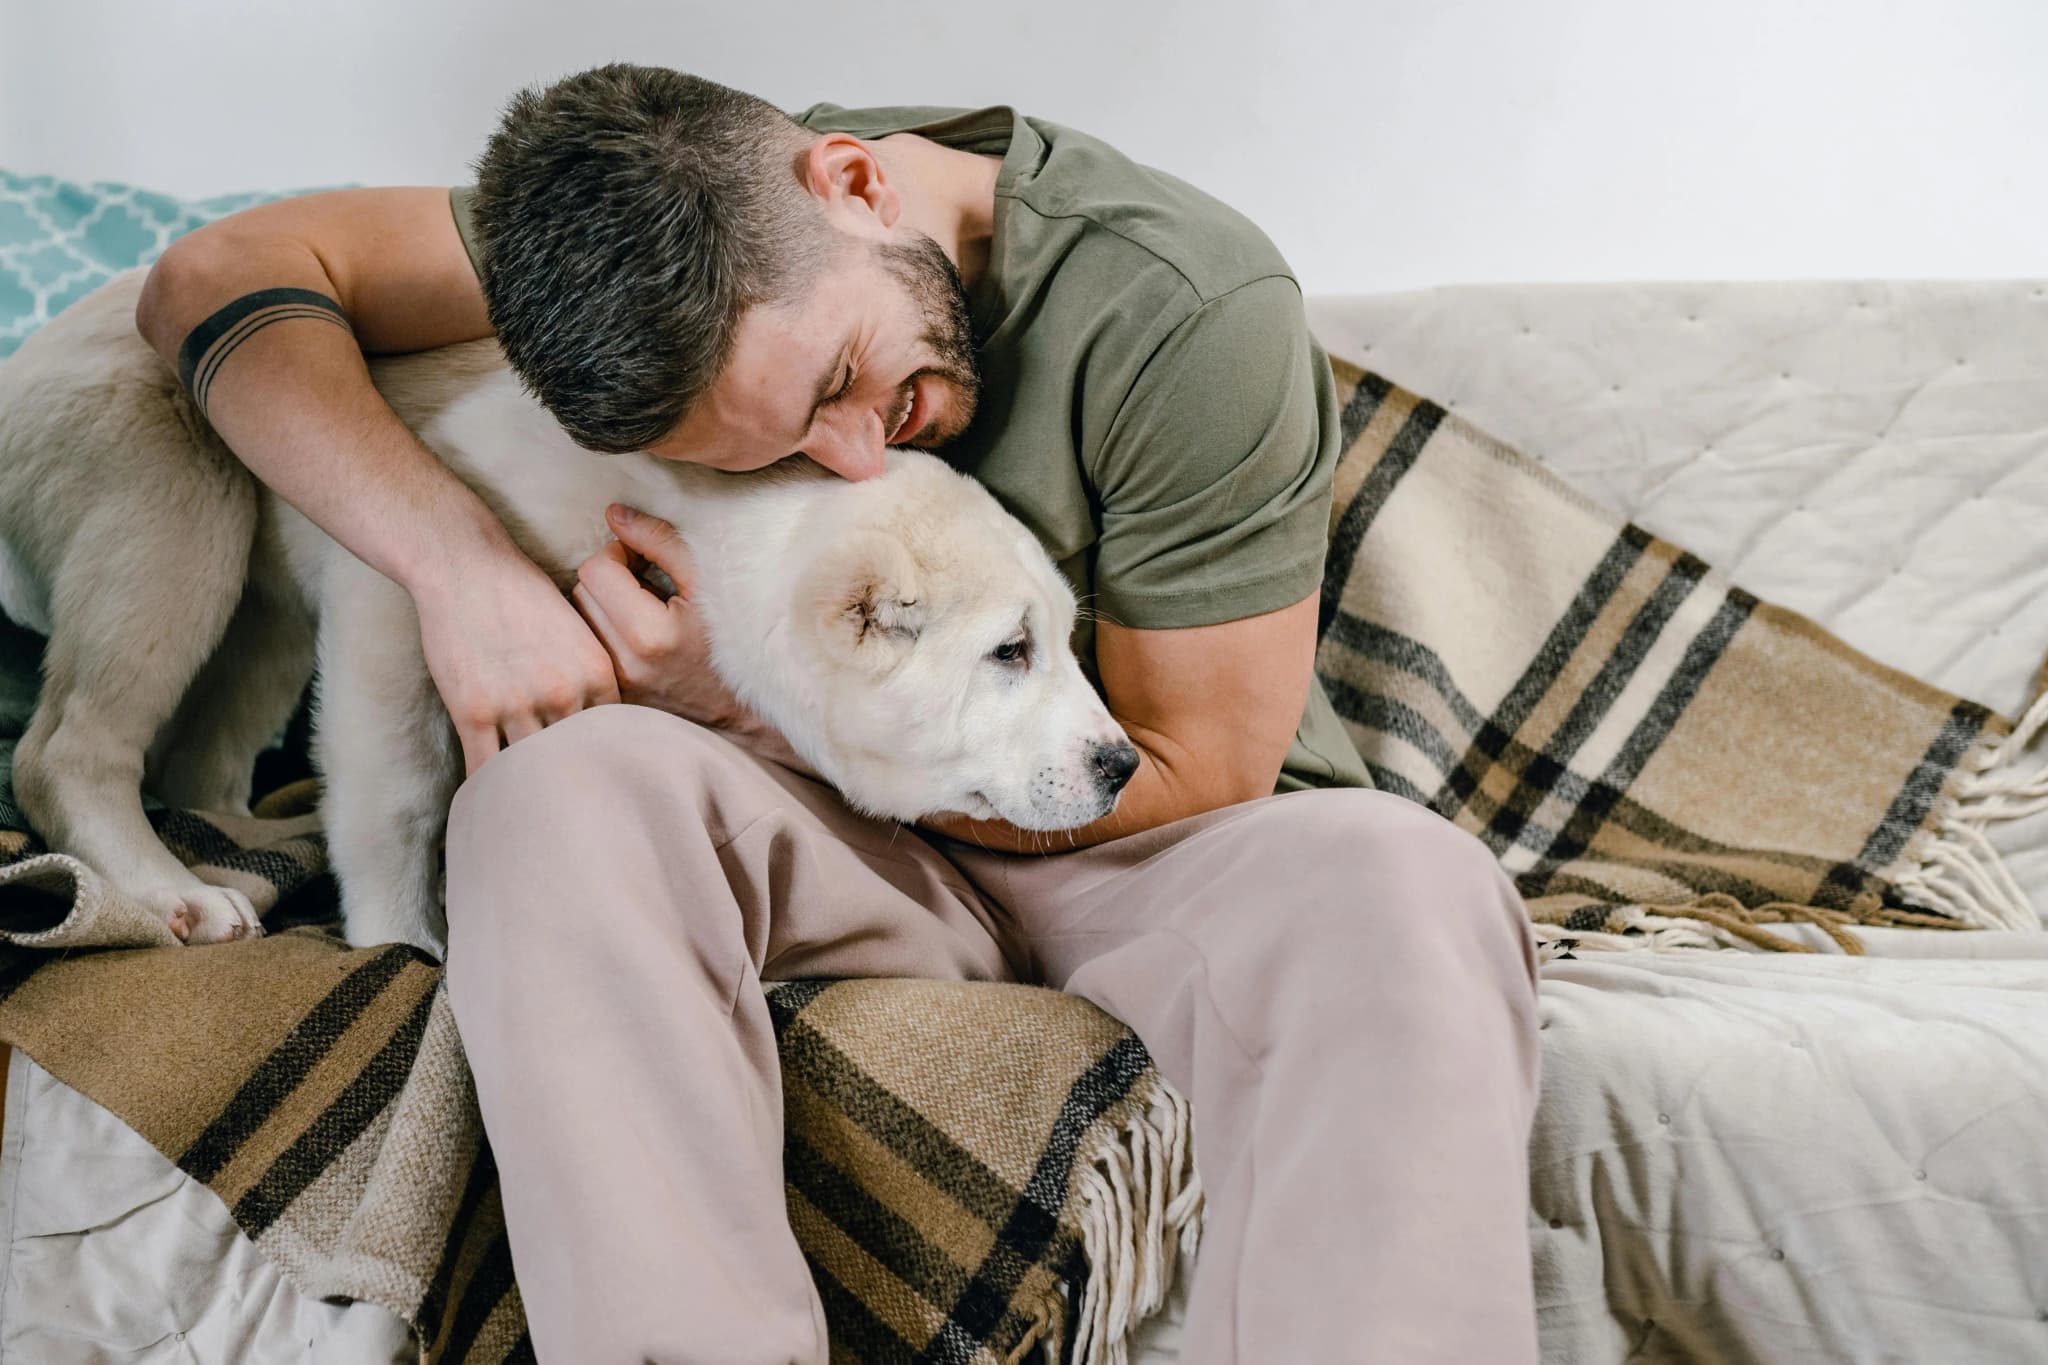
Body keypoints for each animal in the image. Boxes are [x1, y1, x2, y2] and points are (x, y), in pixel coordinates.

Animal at [0, 272, 1138, 957]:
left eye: (1061, 642)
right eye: (1008, 651)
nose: (1123, 764)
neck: (711, 501)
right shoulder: (405, 573)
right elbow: (401, 791)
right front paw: (400, 942)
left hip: (259, 603)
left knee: (200, 749)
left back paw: (246, 837)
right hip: (171, 505)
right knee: (68, 750)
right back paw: (171, 892)